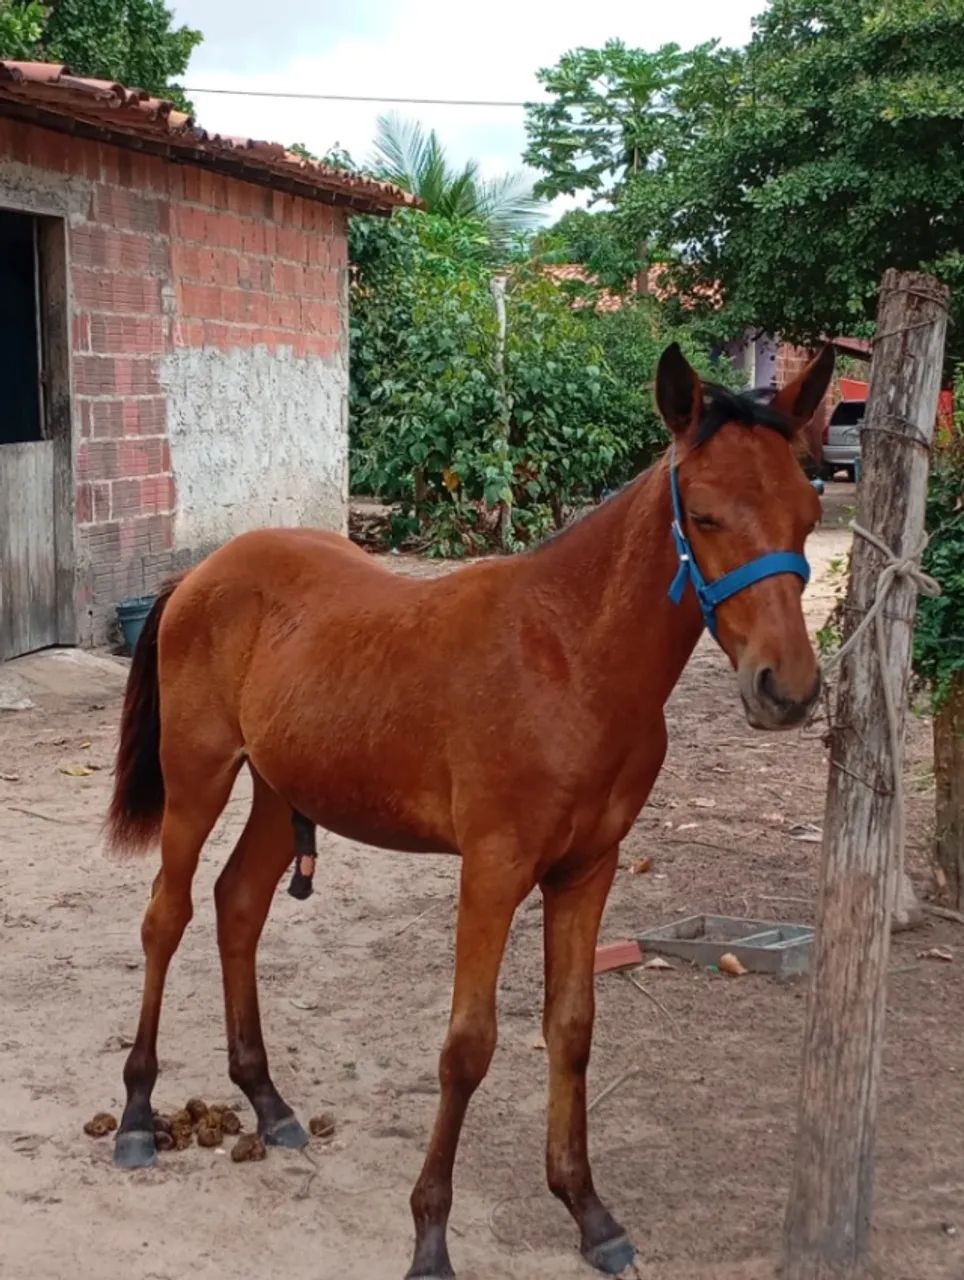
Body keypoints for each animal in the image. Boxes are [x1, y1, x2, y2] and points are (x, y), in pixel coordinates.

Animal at [106, 341, 833, 1278]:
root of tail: (201, 572)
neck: (571, 658)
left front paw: (588, 1211)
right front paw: (429, 1237)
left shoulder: (587, 870)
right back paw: (134, 1116)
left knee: (238, 906)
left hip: (280, 788)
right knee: (168, 916)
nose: (788, 691)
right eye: (704, 517)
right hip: (198, 778)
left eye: (810, 512)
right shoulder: (493, 870)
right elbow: (467, 1047)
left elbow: (572, 1027)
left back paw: (267, 1100)